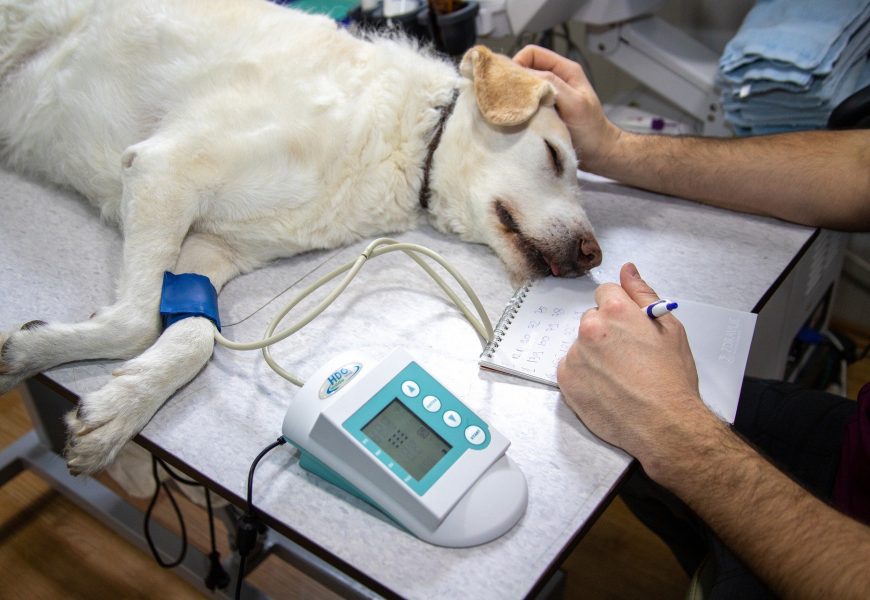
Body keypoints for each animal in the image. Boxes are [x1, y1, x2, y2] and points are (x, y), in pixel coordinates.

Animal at [0, 1, 600, 478]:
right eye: (554, 156)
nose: (595, 256)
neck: (407, 140)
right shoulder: (164, 170)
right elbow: (135, 322)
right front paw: (37, 353)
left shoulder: (210, 251)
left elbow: (192, 335)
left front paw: (115, 405)